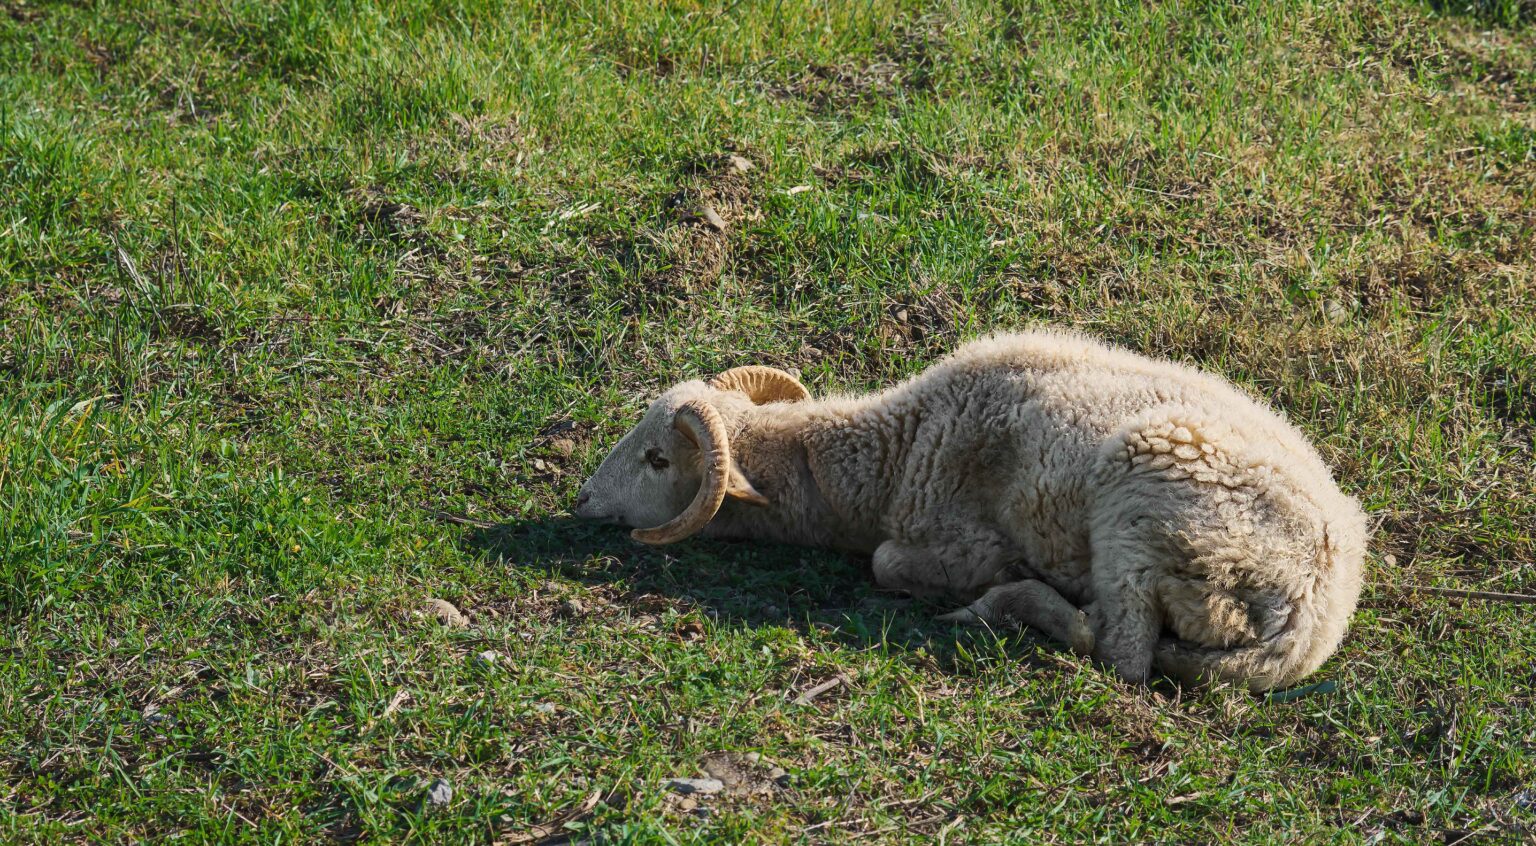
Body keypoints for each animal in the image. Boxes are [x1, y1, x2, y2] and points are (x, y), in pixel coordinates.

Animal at [573, 330, 1368, 692]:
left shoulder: (960, 539)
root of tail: (1316, 613)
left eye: (658, 459)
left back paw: (1001, 605)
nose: (581, 500)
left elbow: (886, 563)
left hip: (1144, 503)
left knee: (1119, 652)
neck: (889, 458)